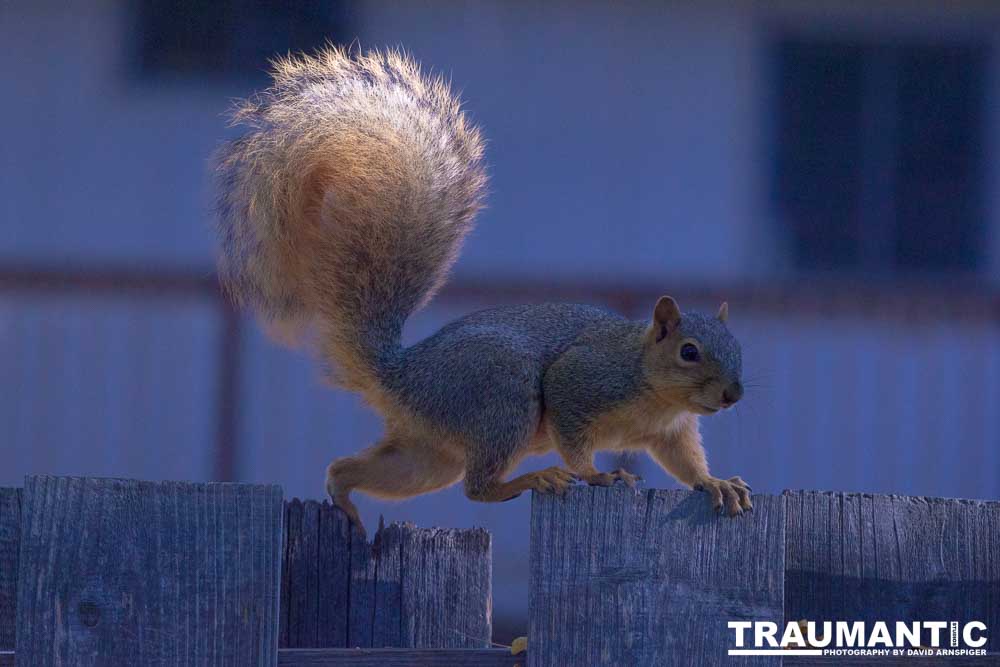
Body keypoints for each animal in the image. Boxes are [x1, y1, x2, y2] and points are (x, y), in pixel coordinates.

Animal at [217, 47, 752, 536]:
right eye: (688, 351)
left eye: (738, 350)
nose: (733, 394)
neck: (655, 391)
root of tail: (403, 376)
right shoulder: (581, 383)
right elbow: (575, 438)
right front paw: (599, 476)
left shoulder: (673, 432)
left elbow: (685, 463)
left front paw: (716, 483)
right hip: (501, 393)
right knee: (477, 488)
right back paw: (533, 479)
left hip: (427, 454)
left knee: (364, 469)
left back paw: (344, 497)